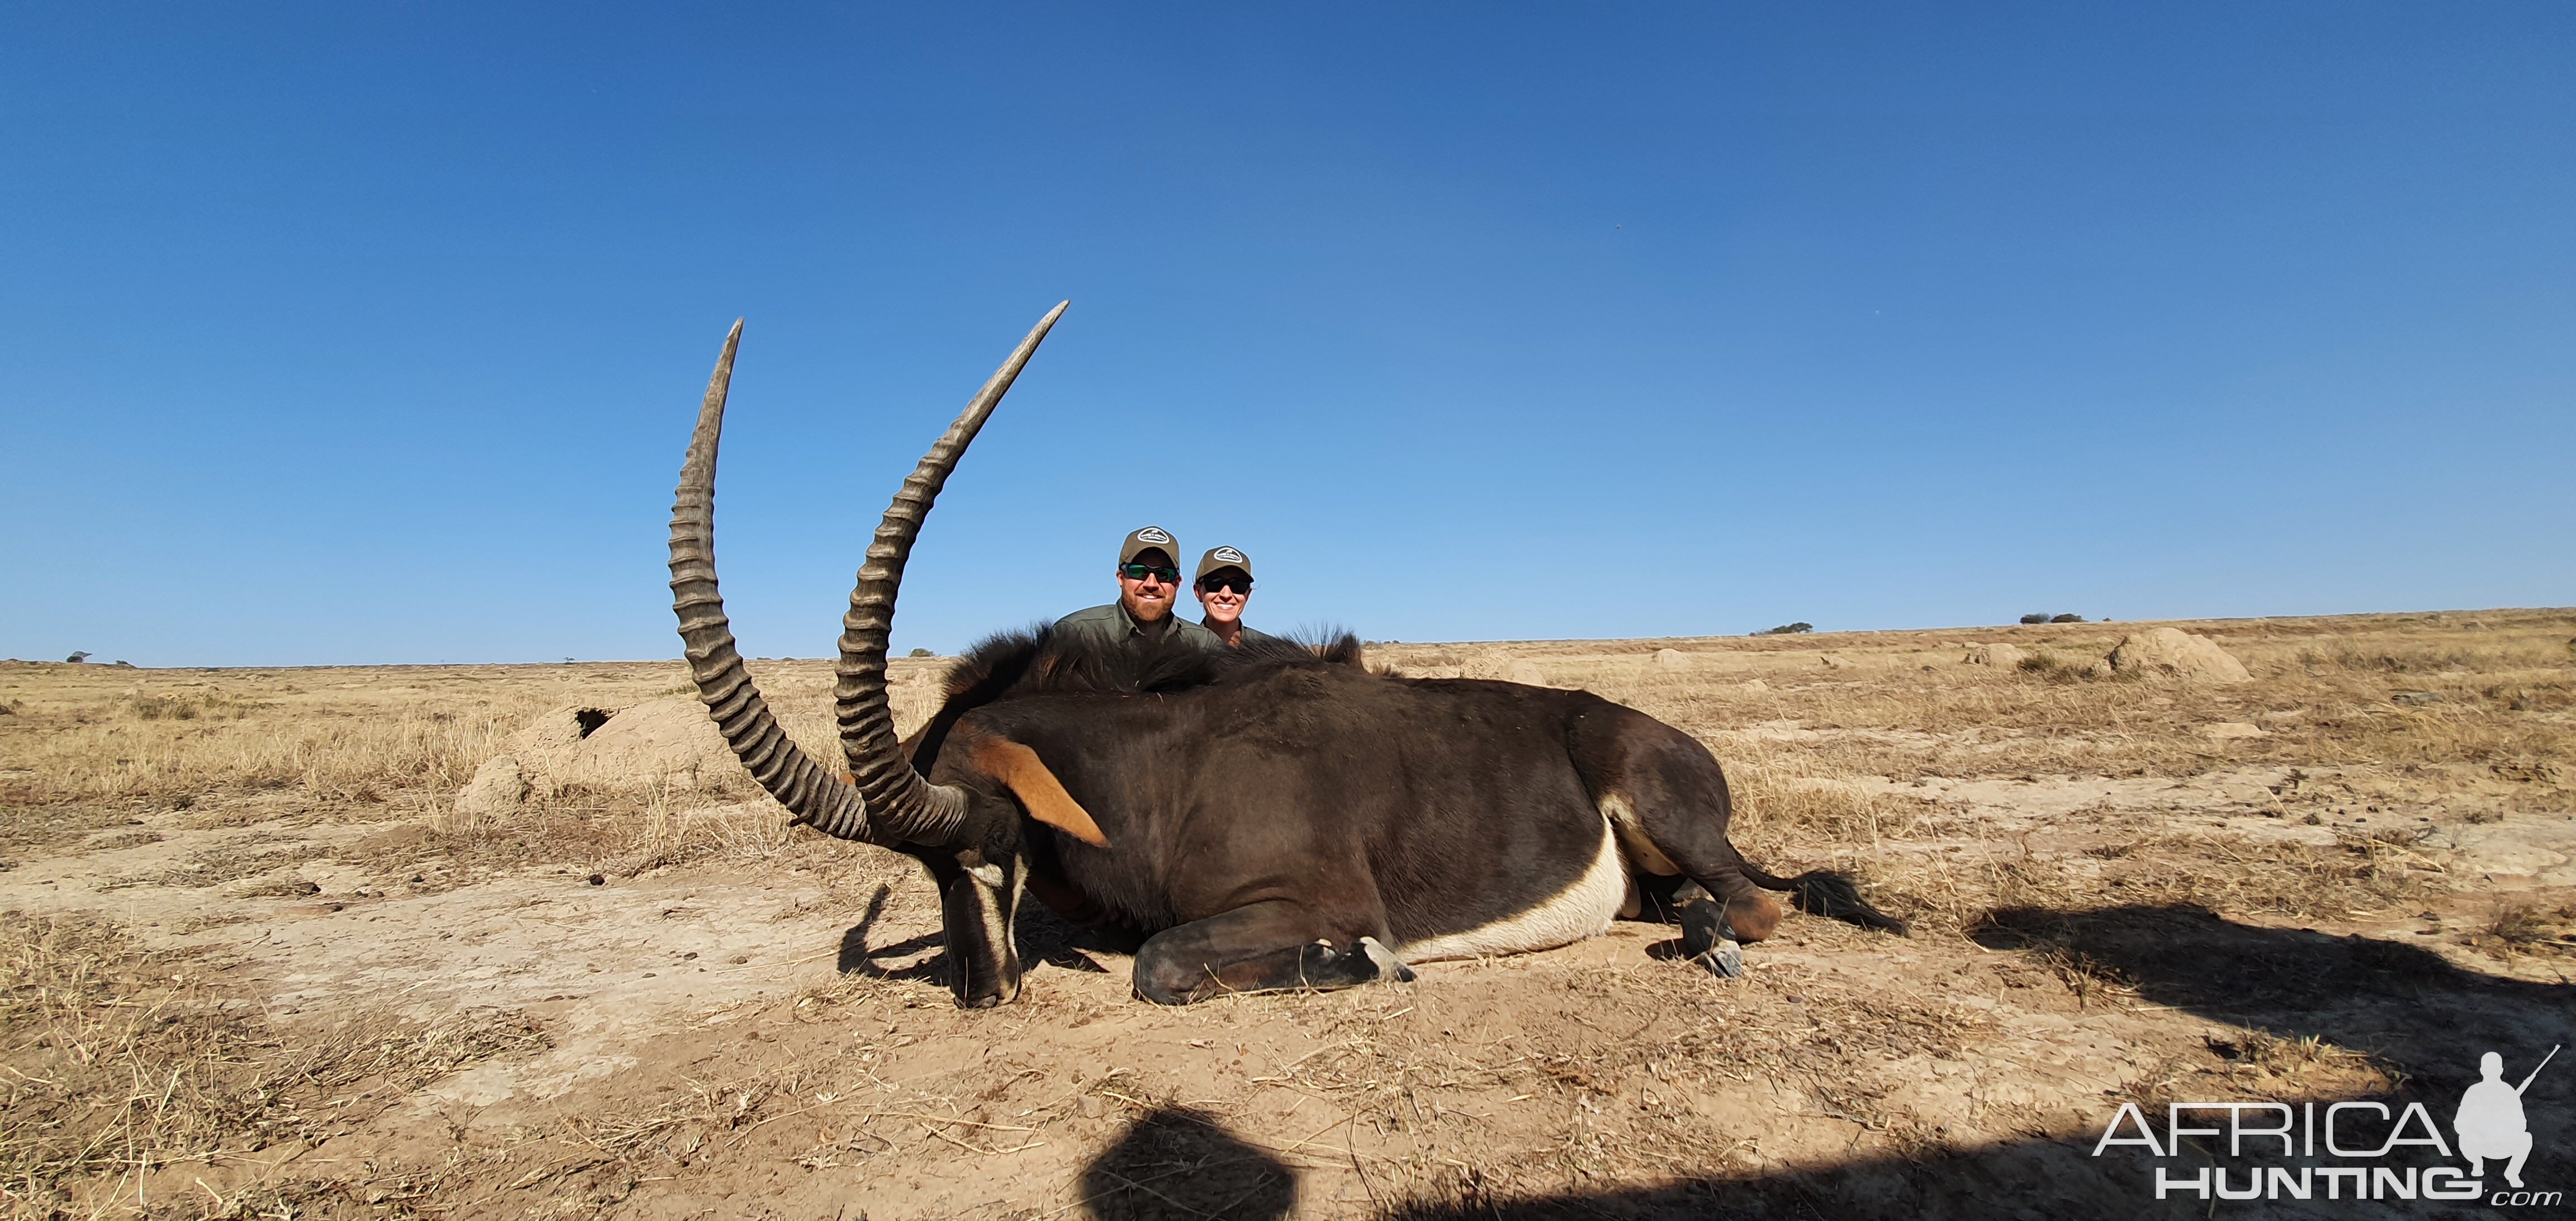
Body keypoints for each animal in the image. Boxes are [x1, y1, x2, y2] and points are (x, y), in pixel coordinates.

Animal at [675, 307, 1906, 1010]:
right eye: (926, 872)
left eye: (989, 843)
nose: (985, 995)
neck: (1164, 772)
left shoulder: (1314, 897)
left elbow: (1164, 963)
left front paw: (1367, 964)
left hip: (1661, 804)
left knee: (1757, 904)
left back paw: (1711, 938)